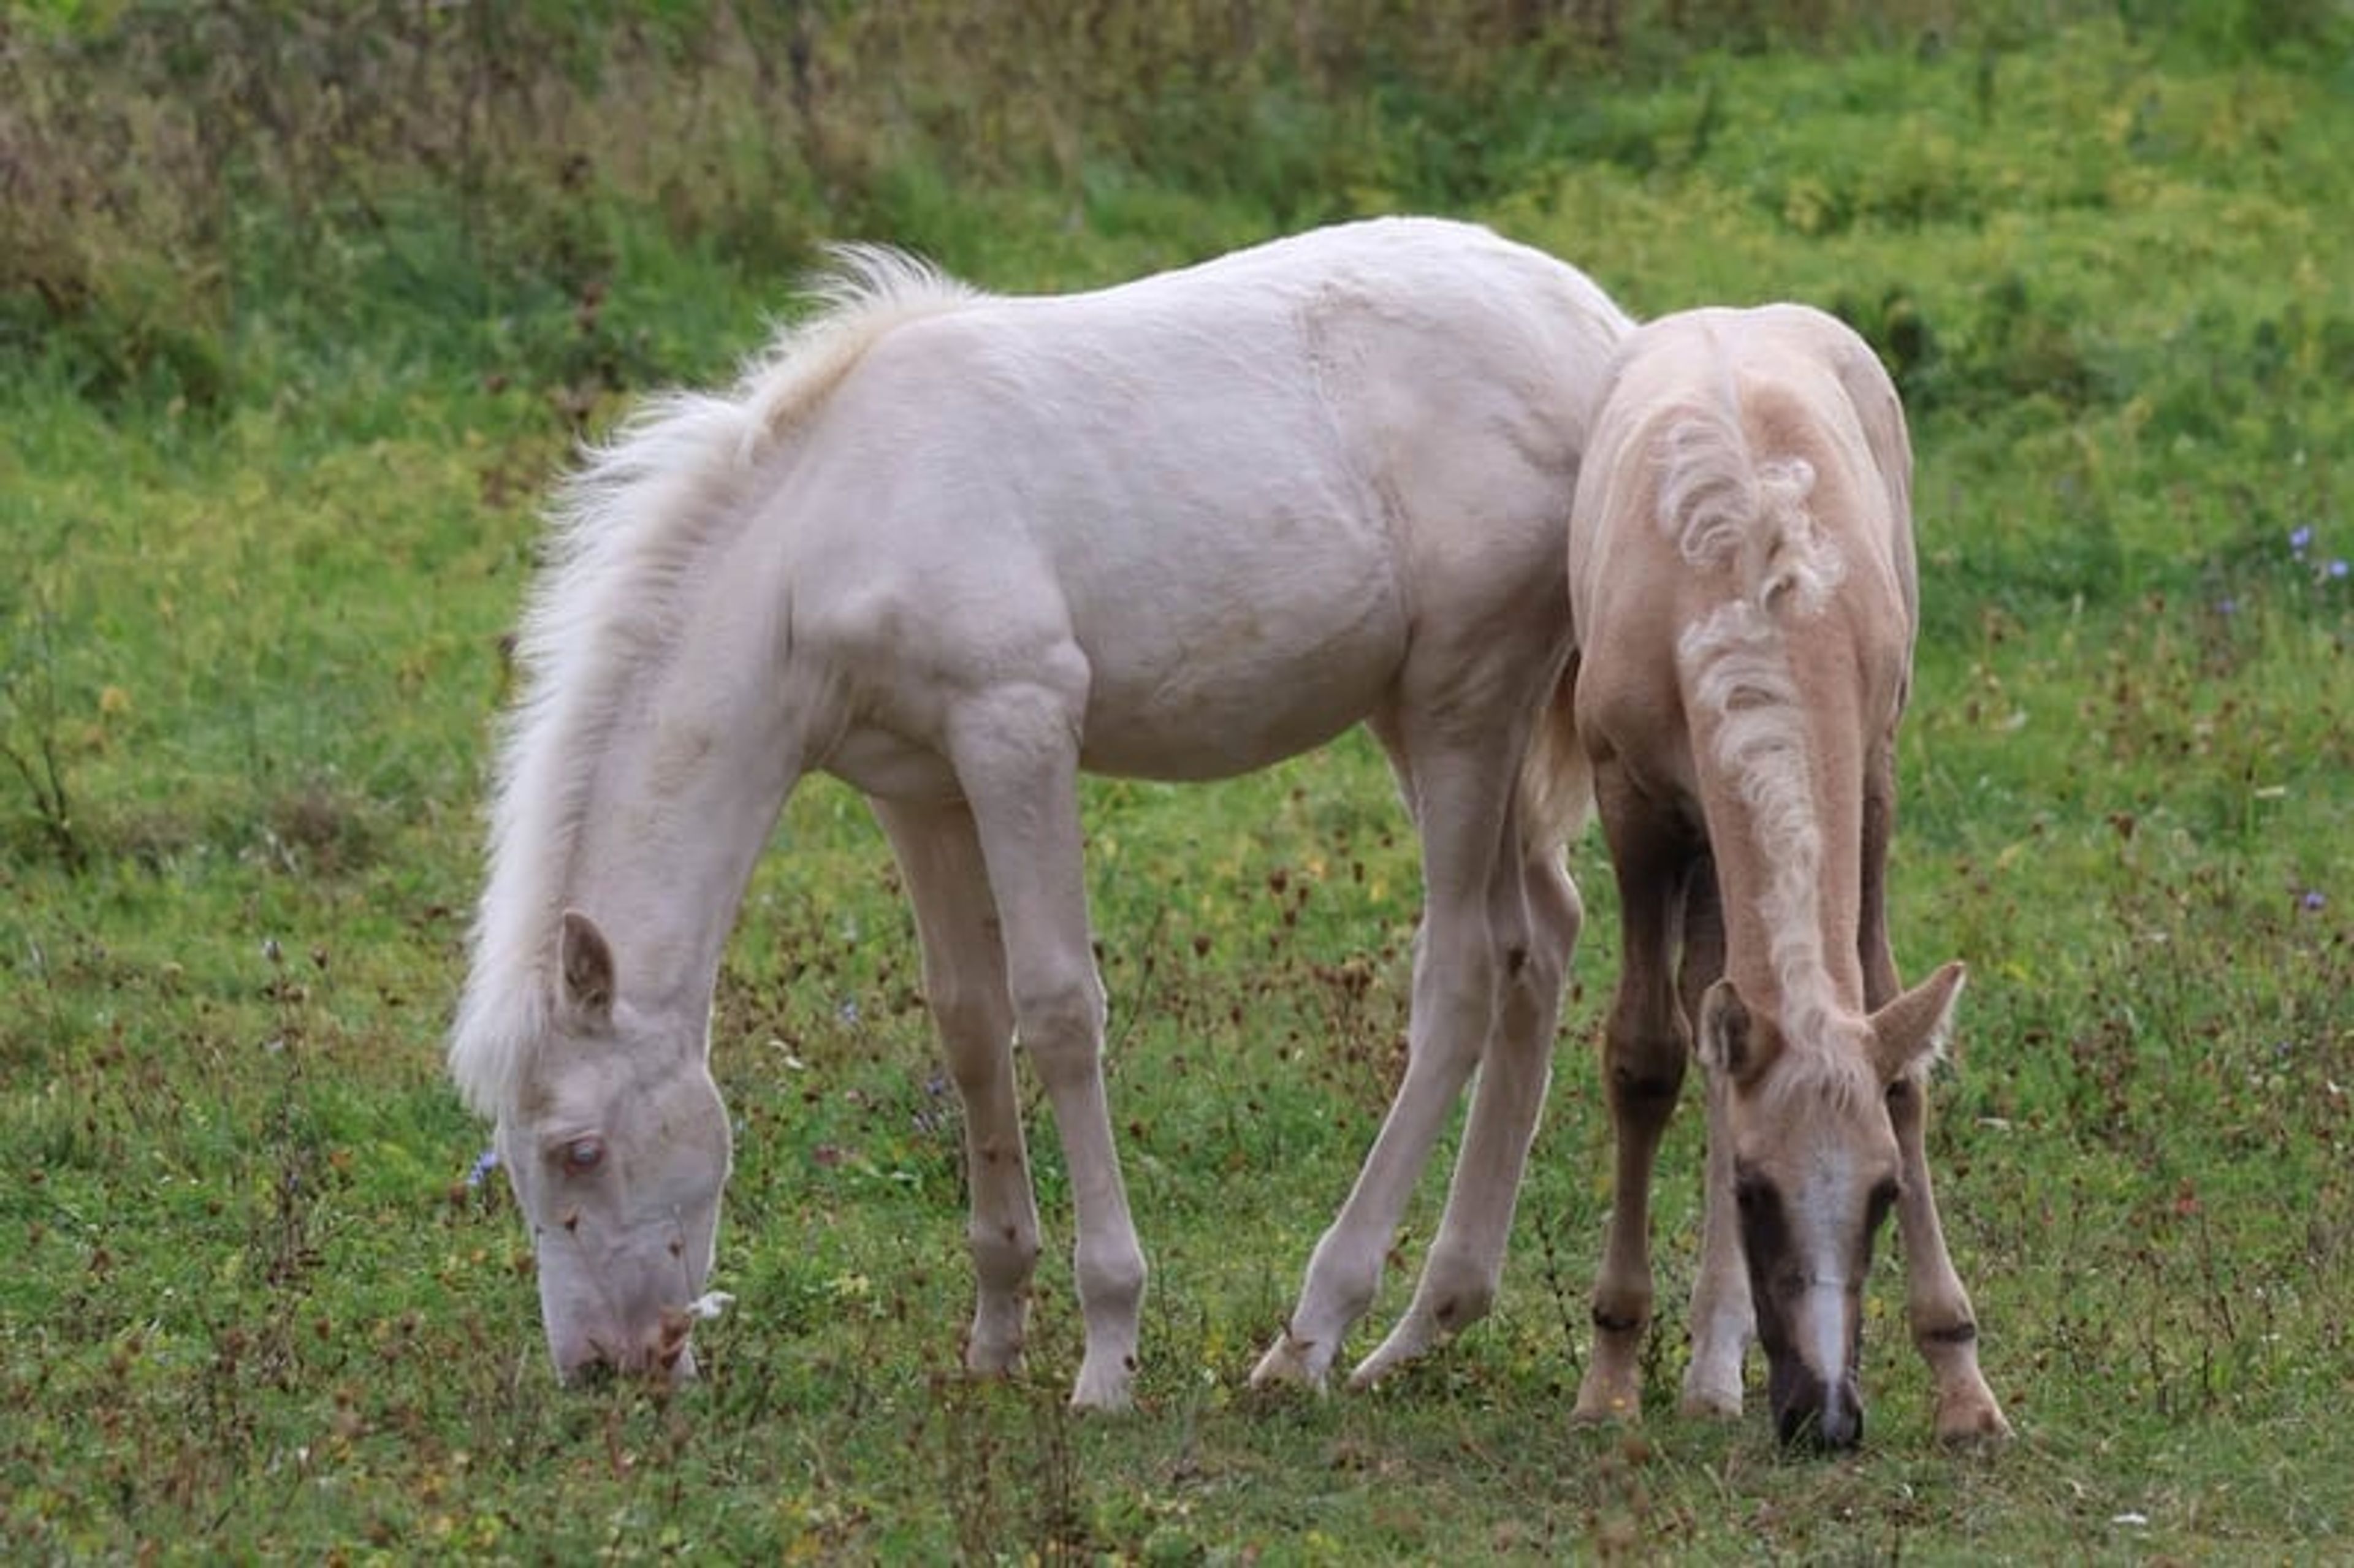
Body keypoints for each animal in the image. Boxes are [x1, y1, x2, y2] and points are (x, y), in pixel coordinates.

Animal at [447, 216, 1636, 1409]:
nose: (601, 1366)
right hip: (1420, 716)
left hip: (1461, 703)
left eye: (581, 1149)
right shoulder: (915, 784)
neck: (833, 528)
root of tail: (1600, 335)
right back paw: (1429, 1320)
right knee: (1542, 938)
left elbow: (1060, 1010)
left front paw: (1108, 1345)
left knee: (1467, 973)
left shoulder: (1018, 729)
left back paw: (1315, 1331)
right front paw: (996, 1326)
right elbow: (969, 1018)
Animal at [1559, 304, 2011, 1448]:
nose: (1828, 1415)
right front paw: (1608, 1373)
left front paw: (1960, 1377)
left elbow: (1893, 1051)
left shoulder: (1872, 784)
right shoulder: (1632, 803)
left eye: (1887, 1194)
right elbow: (1643, 1056)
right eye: (1755, 1191)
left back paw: (1716, 1369)